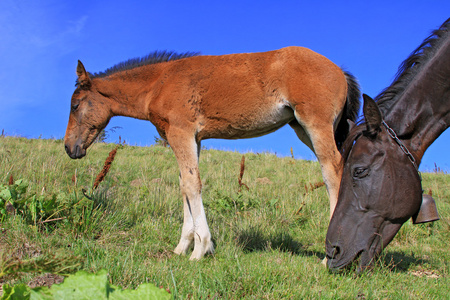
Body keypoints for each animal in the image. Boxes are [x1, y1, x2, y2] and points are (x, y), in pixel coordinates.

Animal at [63, 47, 360, 260]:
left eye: (75, 105)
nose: (69, 147)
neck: (159, 84)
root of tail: (339, 70)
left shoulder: (180, 132)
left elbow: (192, 184)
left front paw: (201, 249)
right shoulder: (193, 139)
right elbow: (184, 185)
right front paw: (181, 247)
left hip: (315, 124)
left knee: (332, 170)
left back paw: (330, 254)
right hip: (302, 127)